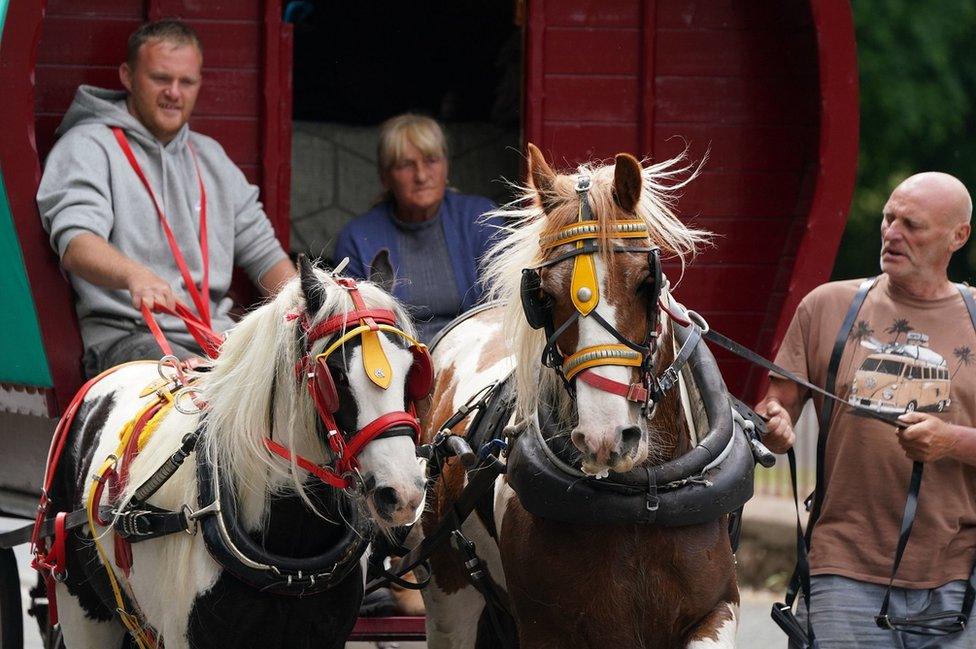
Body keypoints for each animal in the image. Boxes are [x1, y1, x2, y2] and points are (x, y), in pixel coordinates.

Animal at [418, 147, 740, 648]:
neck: (639, 500)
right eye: (545, 297)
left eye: (646, 282)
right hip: (450, 592)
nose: (605, 437)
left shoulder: (718, 609)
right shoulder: (546, 629)